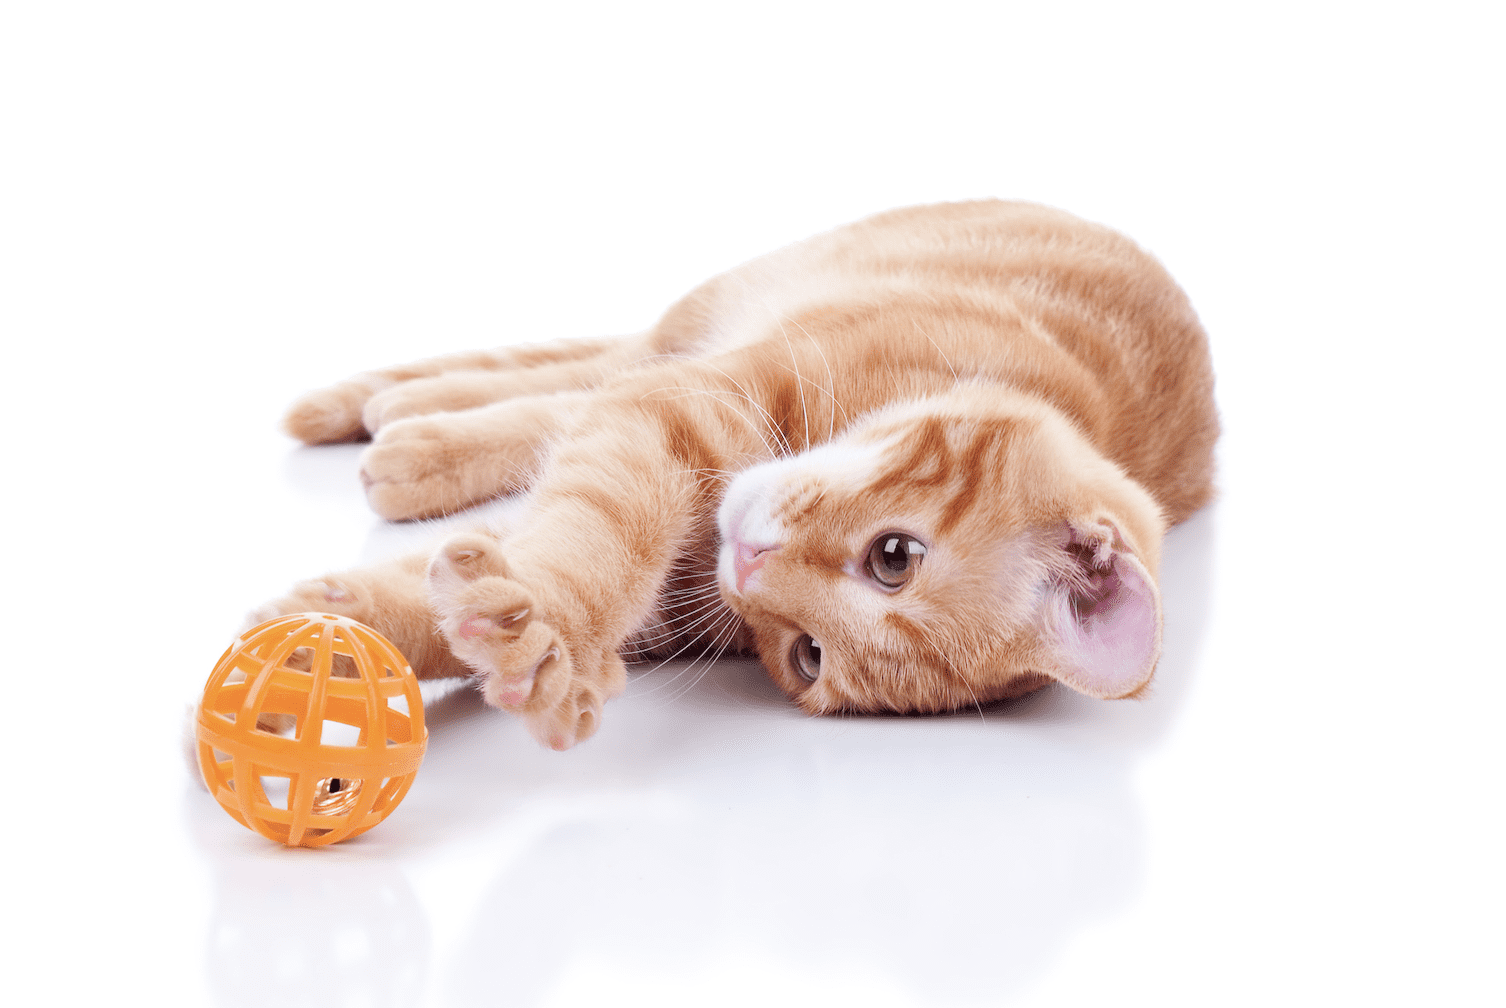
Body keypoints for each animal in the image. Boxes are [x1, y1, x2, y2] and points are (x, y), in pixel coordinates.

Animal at [262, 200, 1222, 747]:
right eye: (895, 557)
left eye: (806, 655)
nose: (749, 570)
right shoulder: (684, 404)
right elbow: (594, 531)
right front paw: (550, 630)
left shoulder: (667, 584)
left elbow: (494, 561)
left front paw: (328, 643)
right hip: (704, 314)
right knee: (584, 371)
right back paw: (395, 420)